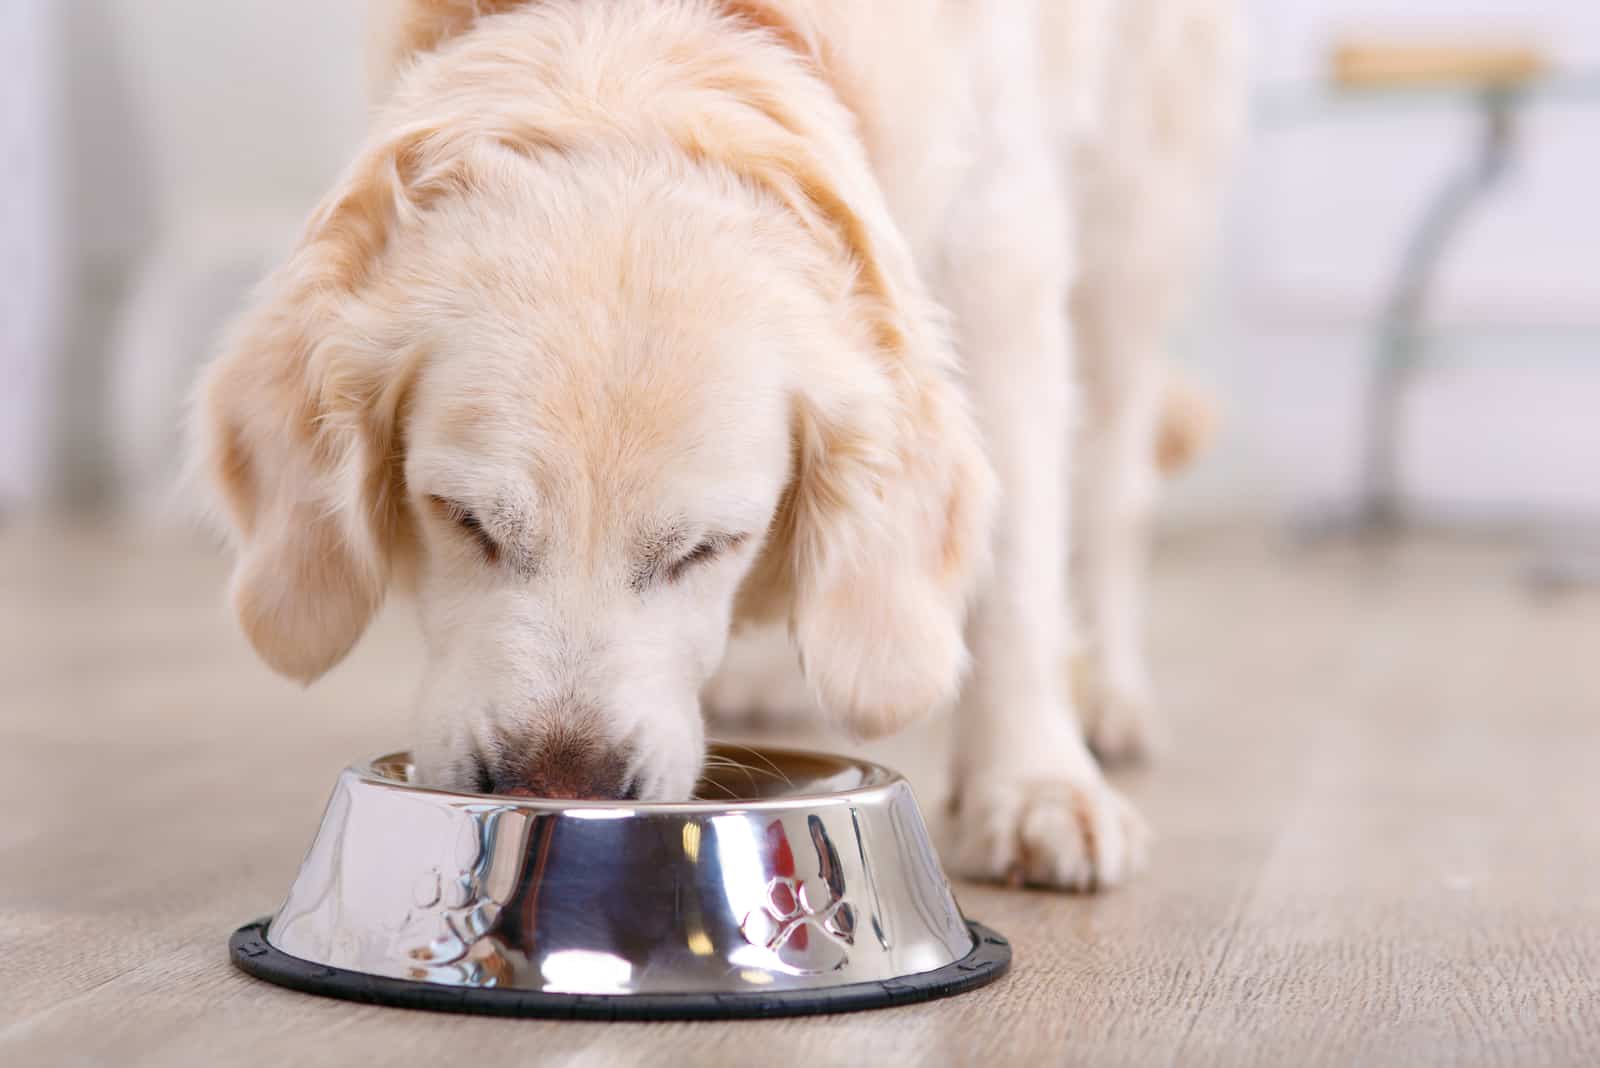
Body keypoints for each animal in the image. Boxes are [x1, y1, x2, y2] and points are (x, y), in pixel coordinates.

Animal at [196, 0, 1235, 895]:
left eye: (708, 548)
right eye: (463, 521)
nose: (561, 790)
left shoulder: (1000, 249)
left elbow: (1017, 563)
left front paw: (1034, 785)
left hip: (1135, 223)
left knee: (1112, 484)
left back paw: (1108, 696)